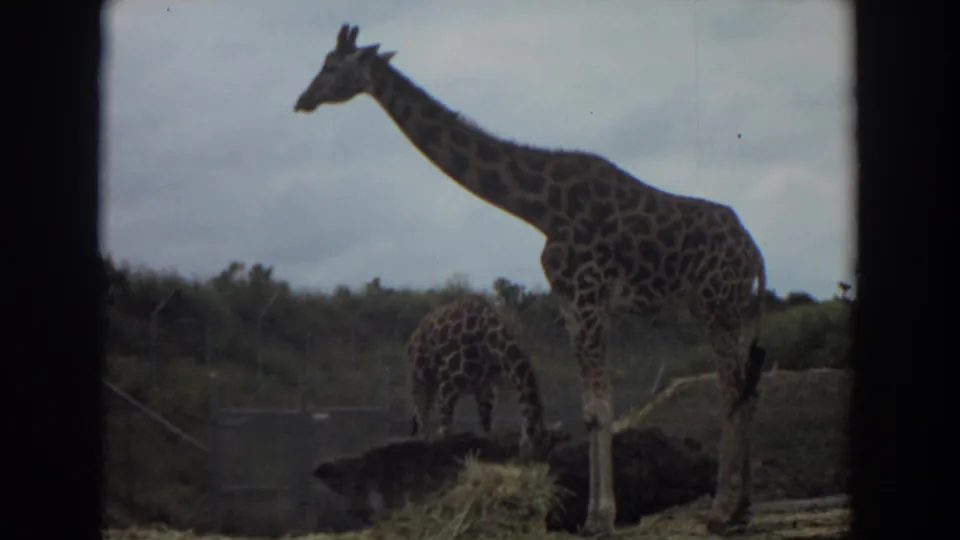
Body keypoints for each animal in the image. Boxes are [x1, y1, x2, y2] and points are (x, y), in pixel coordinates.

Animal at [406, 293, 569, 460]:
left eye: (546, 451)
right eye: (532, 447)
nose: (530, 460)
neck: (489, 341)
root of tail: (415, 332)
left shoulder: (487, 388)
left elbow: (487, 429)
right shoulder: (449, 383)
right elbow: (445, 431)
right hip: (420, 377)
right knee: (421, 414)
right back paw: (424, 440)